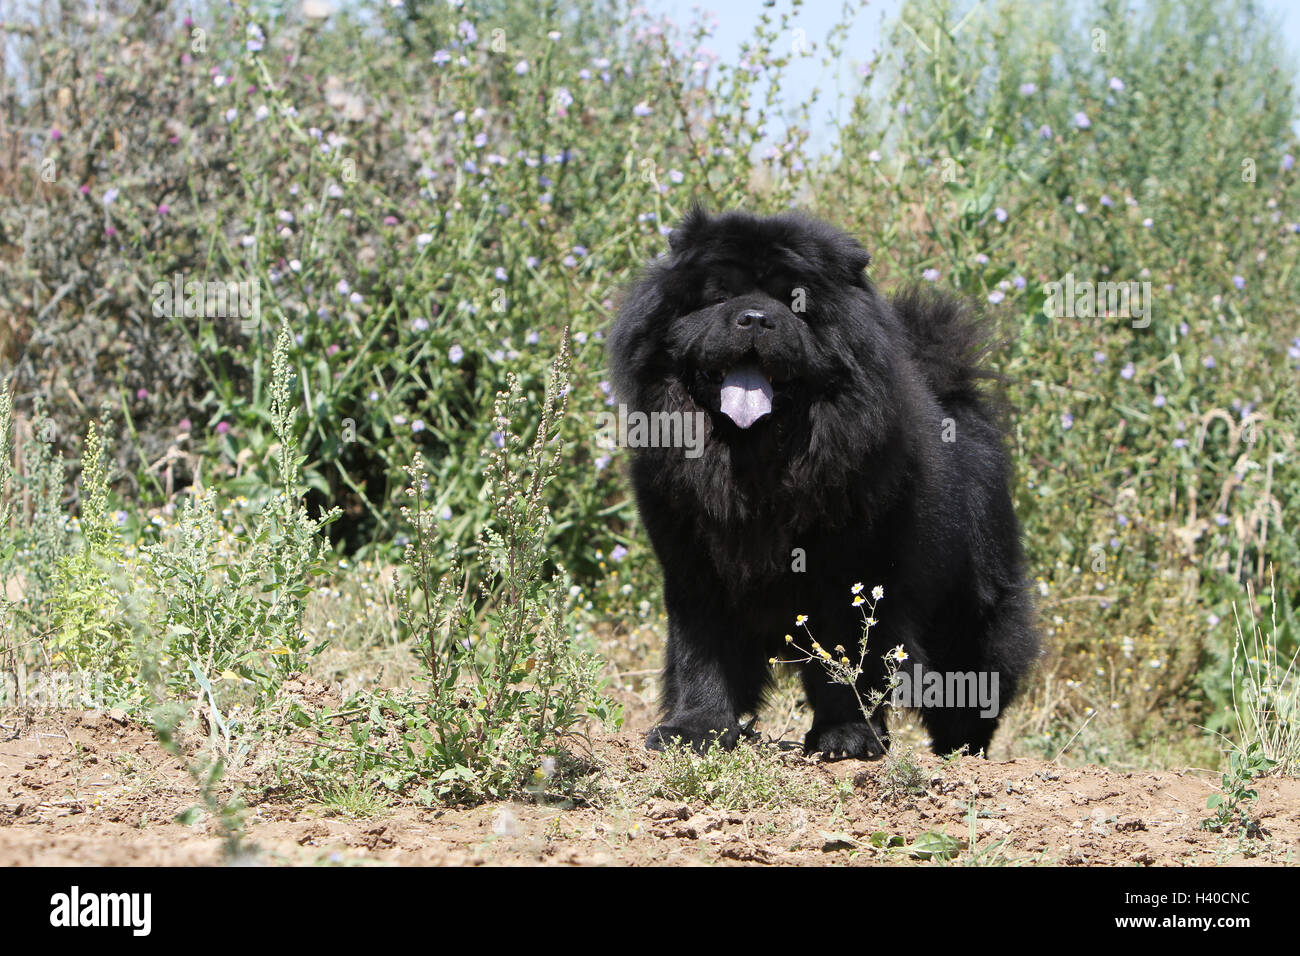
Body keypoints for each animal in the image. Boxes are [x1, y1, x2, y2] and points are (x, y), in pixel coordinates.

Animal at [608, 208, 1045, 764]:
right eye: (719, 295)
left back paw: (961, 752)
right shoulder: (693, 566)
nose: (755, 318)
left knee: (973, 681)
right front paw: (695, 730)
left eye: (795, 302)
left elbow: (846, 657)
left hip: (969, 607)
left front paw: (846, 737)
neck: (754, 459)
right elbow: (700, 653)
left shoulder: (851, 574)